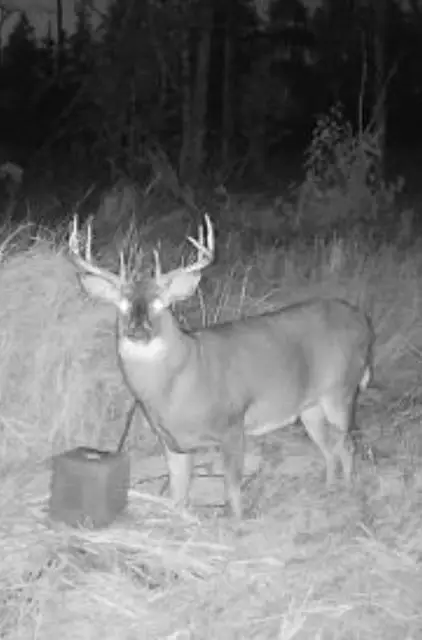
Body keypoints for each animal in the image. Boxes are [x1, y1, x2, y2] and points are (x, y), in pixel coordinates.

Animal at [68, 214, 374, 519]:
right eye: (121, 305)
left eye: (161, 304)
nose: (138, 329)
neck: (181, 383)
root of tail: (361, 320)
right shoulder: (172, 441)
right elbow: (178, 497)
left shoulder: (233, 423)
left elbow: (233, 489)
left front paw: (236, 524)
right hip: (309, 406)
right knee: (330, 449)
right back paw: (328, 492)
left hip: (341, 389)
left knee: (347, 445)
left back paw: (348, 496)